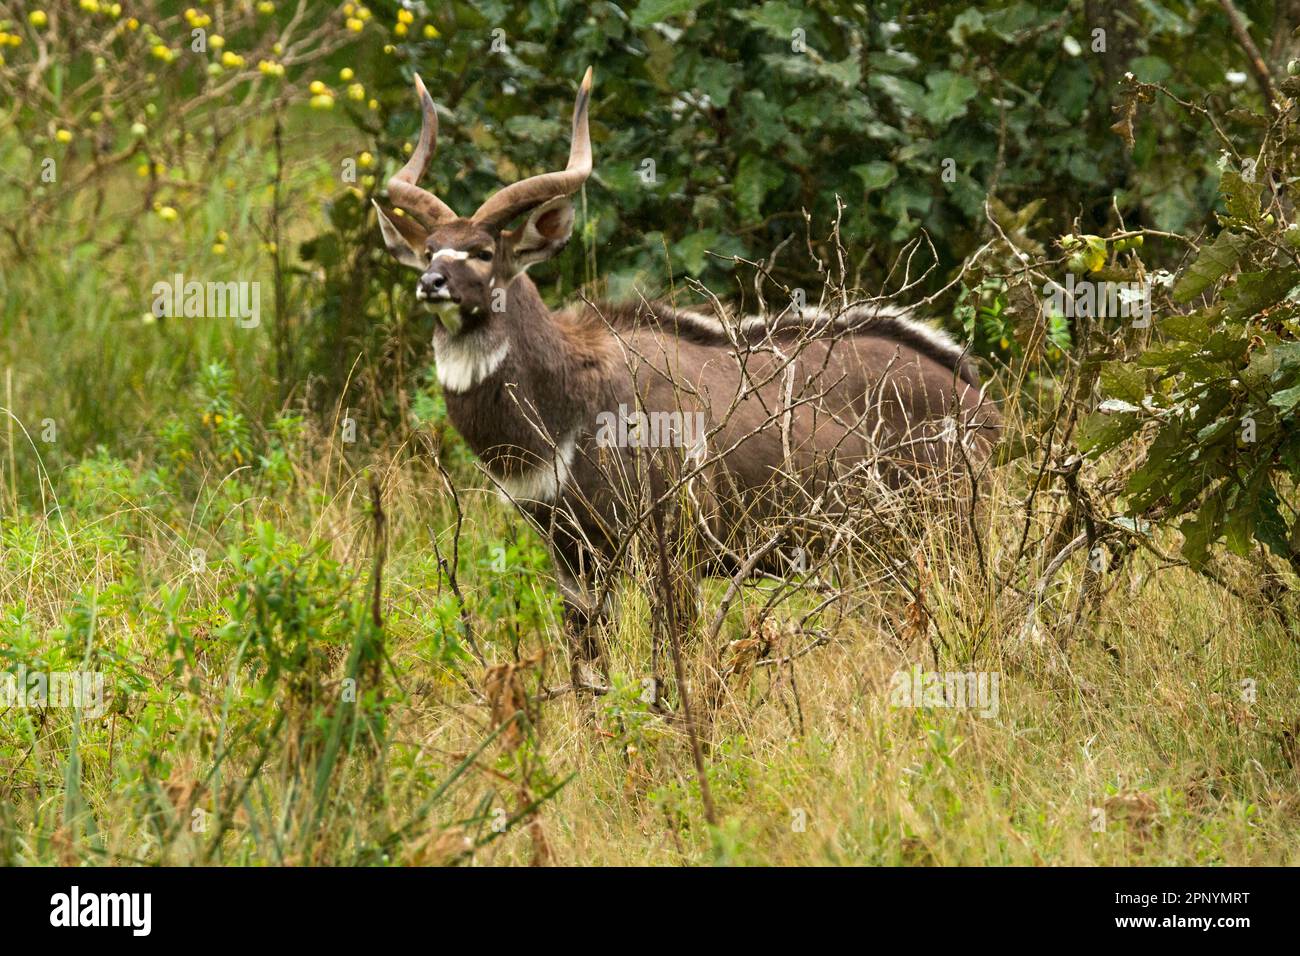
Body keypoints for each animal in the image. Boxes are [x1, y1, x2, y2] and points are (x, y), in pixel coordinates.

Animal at [371, 69, 998, 681]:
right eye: (429, 249)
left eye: (481, 252)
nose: (431, 283)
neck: (570, 404)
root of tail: (978, 397)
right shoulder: (573, 557)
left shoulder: (673, 547)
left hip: (938, 533)